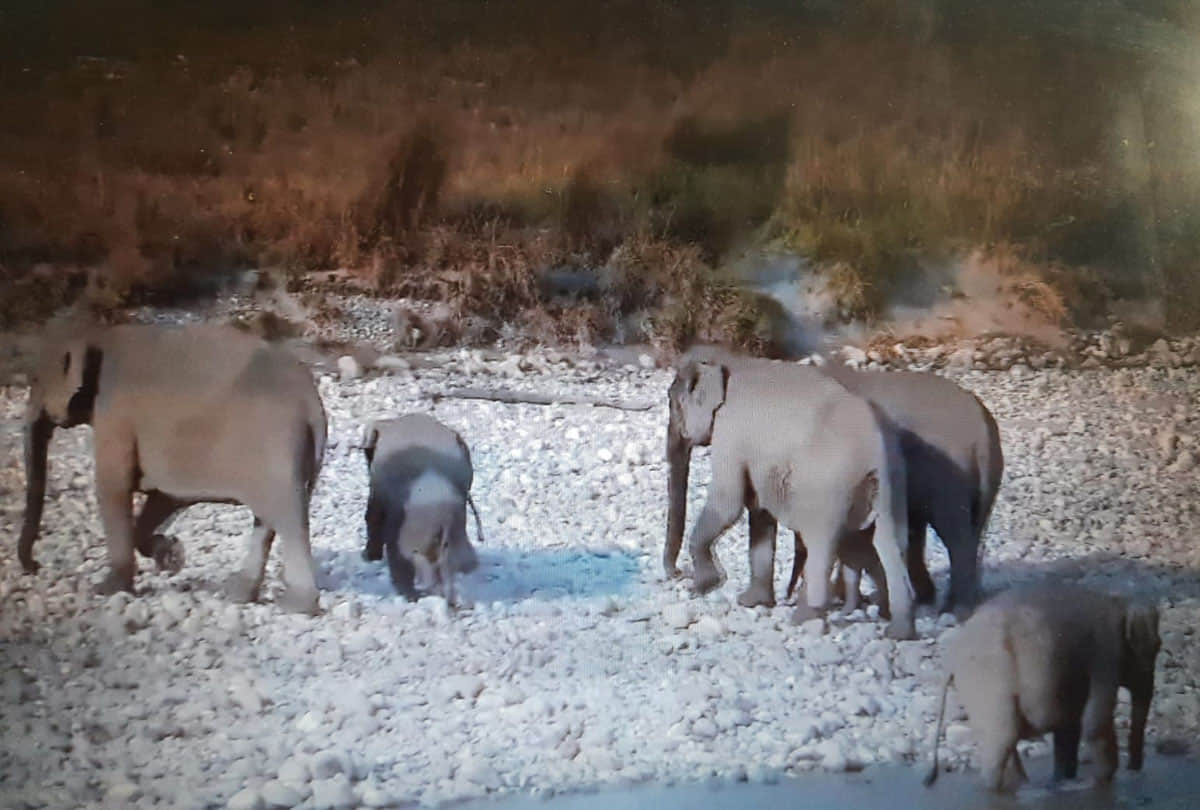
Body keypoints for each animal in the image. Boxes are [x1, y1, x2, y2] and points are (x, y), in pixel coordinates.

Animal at [18, 321, 327, 614]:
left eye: (35, 379)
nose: (35, 566)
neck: (95, 334)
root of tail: (313, 403)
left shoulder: (115, 414)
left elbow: (113, 486)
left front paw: (107, 590)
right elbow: (164, 498)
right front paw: (173, 557)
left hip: (277, 448)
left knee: (288, 520)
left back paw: (296, 605)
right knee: (266, 521)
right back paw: (239, 595)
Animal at [667, 356, 917, 639]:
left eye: (674, 405)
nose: (677, 574)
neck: (720, 368)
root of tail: (876, 446)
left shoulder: (730, 435)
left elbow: (728, 502)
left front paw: (706, 586)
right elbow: (759, 512)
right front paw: (751, 602)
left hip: (828, 486)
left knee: (821, 542)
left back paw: (803, 617)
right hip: (893, 482)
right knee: (890, 541)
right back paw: (898, 631)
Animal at [924, 584, 1161, 792]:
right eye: (1157, 647)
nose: (1134, 771)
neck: (1119, 602)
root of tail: (952, 655)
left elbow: (1069, 727)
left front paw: (1064, 781)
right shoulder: (1106, 655)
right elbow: (1094, 723)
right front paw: (1103, 782)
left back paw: (1022, 785)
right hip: (986, 678)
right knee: (1004, 736)